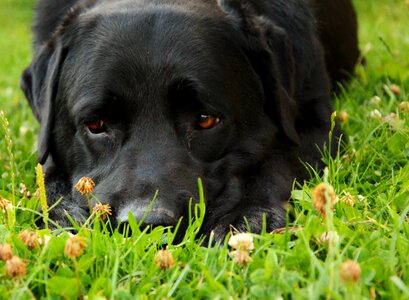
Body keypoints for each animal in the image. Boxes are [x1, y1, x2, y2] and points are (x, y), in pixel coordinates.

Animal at [20, 0, 358, 239]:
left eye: (206, 120)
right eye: (96, 125)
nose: (147, 224)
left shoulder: (317, 122)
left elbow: (280, 160)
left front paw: (246, 217)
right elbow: (47, 176)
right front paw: (63, 216)